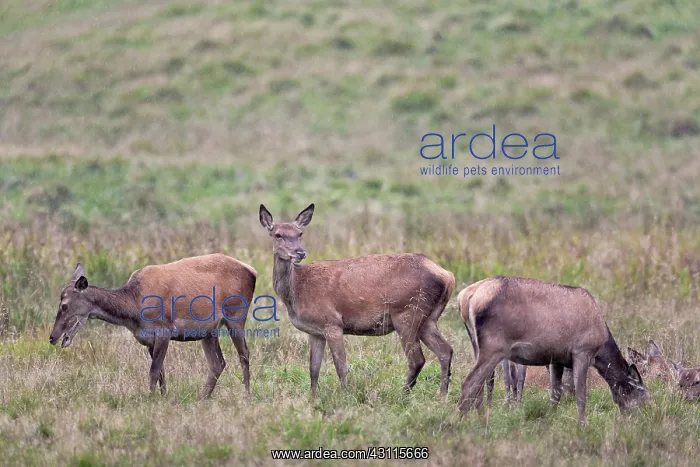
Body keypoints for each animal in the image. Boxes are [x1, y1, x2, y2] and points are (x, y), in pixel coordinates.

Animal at [49, 254, 257, 399]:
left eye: (64, 305)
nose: (52, 337)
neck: (134, 310)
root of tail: (253, 271)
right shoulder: (148, 339)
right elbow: (161, 373)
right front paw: (163, 397)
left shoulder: (164, 330)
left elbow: (154, 371)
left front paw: (150, 399)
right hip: (208, 330)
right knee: (217, 363)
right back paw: (202, 397)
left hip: (235, 315)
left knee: (244, 355)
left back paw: (246, 396)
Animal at [258, 203, 455, 398]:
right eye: (278, 234)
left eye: (299, 234)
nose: (299, 252)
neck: (297, 291)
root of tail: (448, 276)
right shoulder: (315, 332)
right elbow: (313, 369)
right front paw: (313, 399)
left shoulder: (332, 323)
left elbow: (341, 366)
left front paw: (345, 396)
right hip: (428, 319)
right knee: (445, 350)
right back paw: (442, 395)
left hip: (407, 313)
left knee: (417, 359)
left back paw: (403, 394)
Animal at [457, 276, 649, 425]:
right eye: (644, 396)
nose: (642, 420)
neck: (601, 348)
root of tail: (465, 297)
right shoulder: (582, 351)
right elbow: (581, 396)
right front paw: (583, 425)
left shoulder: (556, 359)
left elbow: (555, 394)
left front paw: (550, 420)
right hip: (494, 346)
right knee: (469, 383)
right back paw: (463, 422)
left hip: (476, 345)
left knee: (479, 385)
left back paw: (480, 418)